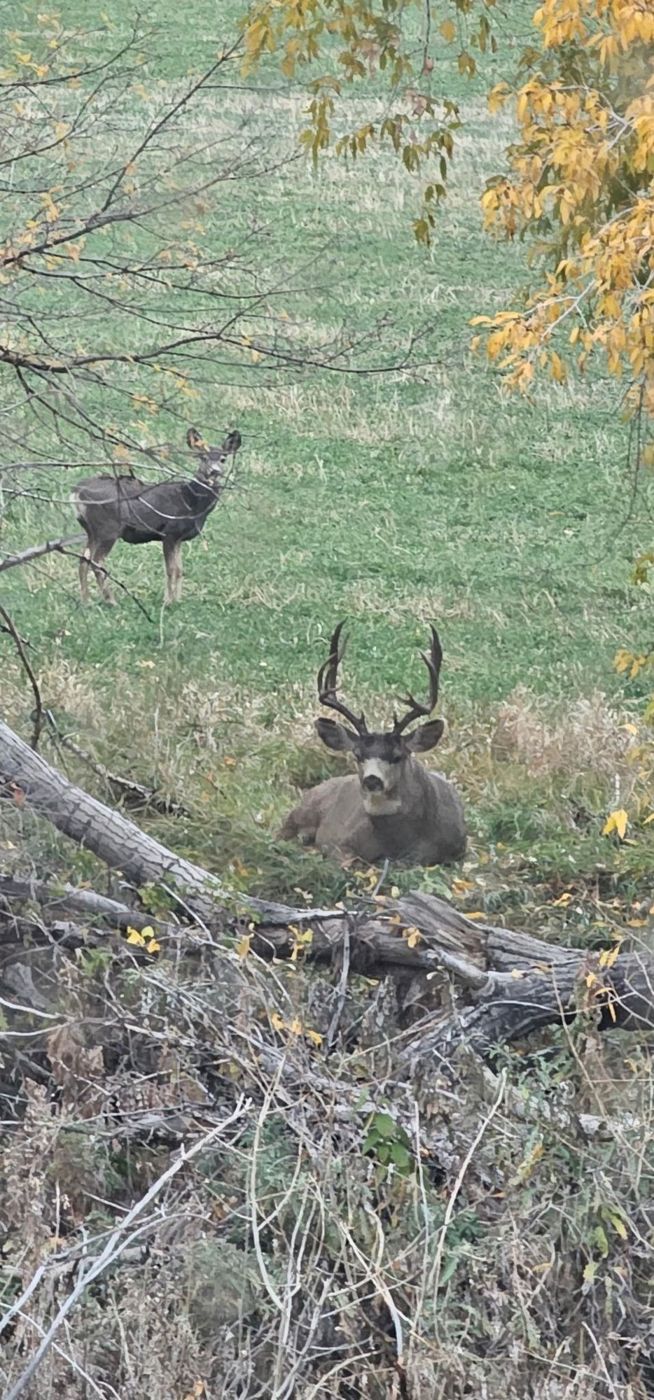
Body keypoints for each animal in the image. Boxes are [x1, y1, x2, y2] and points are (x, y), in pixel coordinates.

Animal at [72, 426, 242, 605]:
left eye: (223, 459)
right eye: (203, 457)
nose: (214, 471)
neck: (191, 503)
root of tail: (77, 491)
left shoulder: (179, 538)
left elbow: (180, 570)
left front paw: (178, 600)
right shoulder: (170, 532)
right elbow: (171, 569)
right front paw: (168, 601)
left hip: (92, 531)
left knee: (83, 559)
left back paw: (86, 600)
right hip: (108, 528)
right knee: (96, 561)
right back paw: (111, 601)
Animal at [279, 621, 467, 867]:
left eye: (397, 755)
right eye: (357, 754)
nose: (372, 780)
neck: (394, 844)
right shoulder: (336, 839)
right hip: (300, 812)